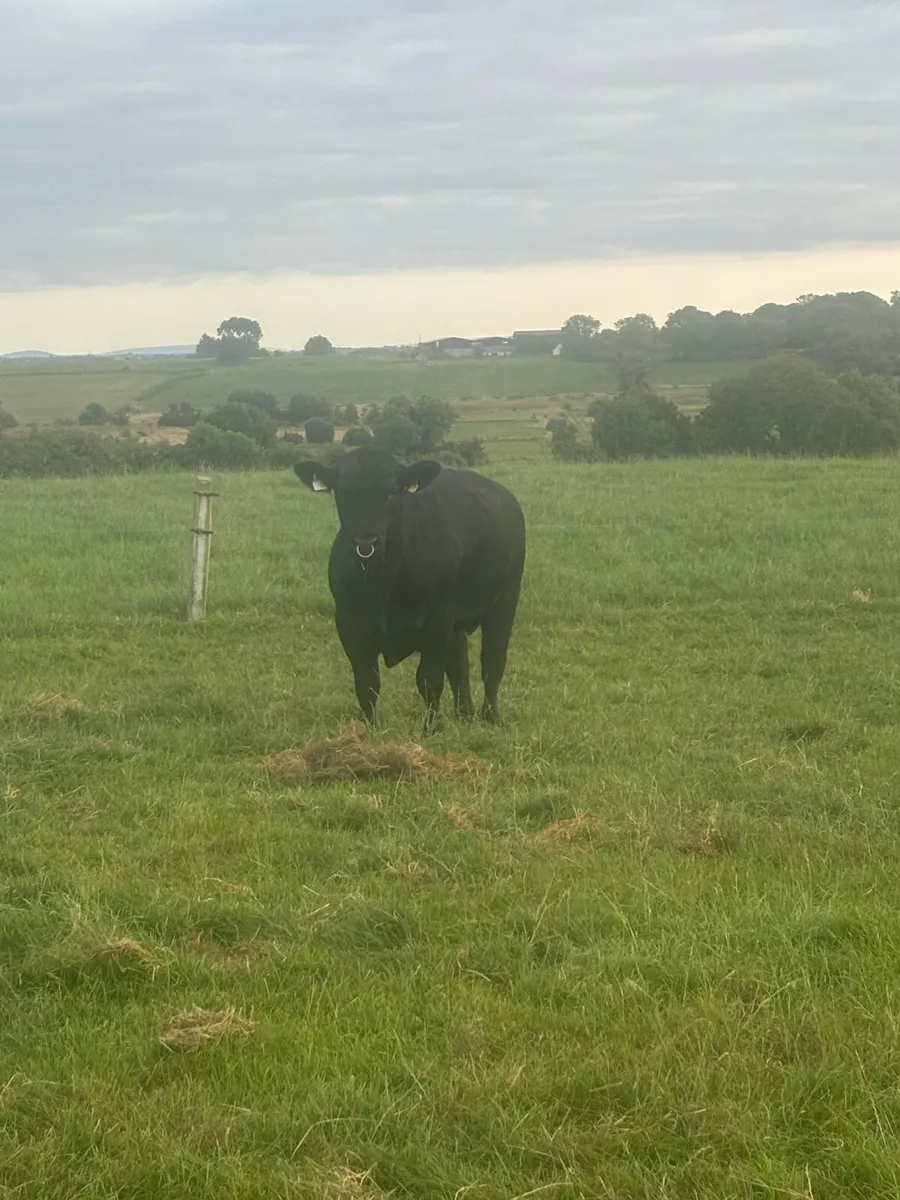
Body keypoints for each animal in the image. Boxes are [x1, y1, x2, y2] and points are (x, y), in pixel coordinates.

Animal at [293, 446, 526, 732]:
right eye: (343, 490)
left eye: (391, 491)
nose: (366, 540)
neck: (385, 580)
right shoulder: (348, 624)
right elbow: (367, 683)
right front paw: (369, 728)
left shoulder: (438, 620)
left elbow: (429, 679)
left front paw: (432, 728)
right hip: (457, 624)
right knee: (460, 664)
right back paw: (464, 712)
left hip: (504, 601)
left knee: (492, 661)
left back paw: (491, 715)